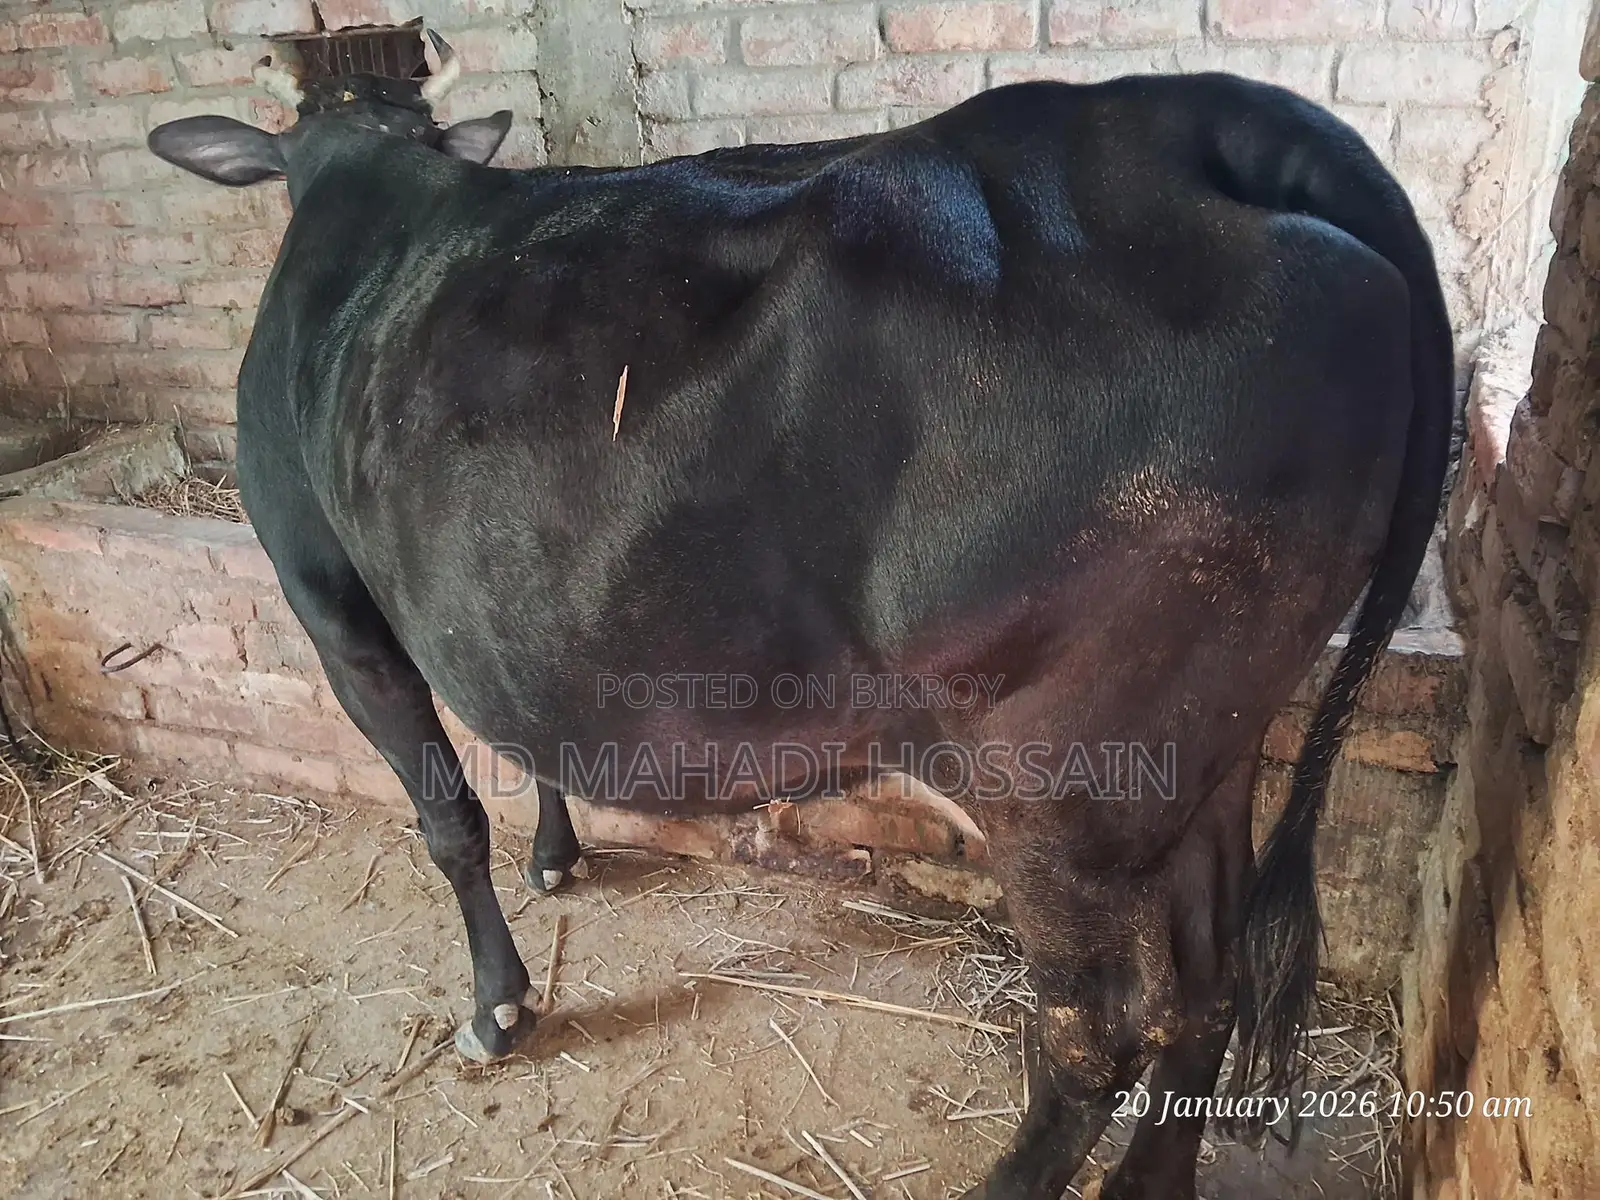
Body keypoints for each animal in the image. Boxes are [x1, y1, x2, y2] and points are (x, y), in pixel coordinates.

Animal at [146, 29, 1451, 1199]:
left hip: (1061, 772)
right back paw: (1149, 1184)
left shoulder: (330, 602)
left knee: (1100, 1032)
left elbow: (446, 819)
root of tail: (1193, 119)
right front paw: (557, 856)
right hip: (1212, 745)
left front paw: (497, 1003)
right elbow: (522, 732)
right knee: (1207, 986)